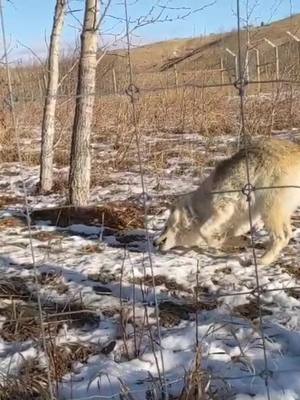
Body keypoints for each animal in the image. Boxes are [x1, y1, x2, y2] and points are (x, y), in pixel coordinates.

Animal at [155, 138, 300, 266]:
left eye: (165, 226)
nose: (154, 243)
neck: (197, 211)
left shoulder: (223, 209)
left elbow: (204, 231)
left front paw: (217, 242)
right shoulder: (242, 221)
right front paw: (235, 240)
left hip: (268, 208)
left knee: (280, 237)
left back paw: (262, 260)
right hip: (280, 211)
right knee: (288, 234)